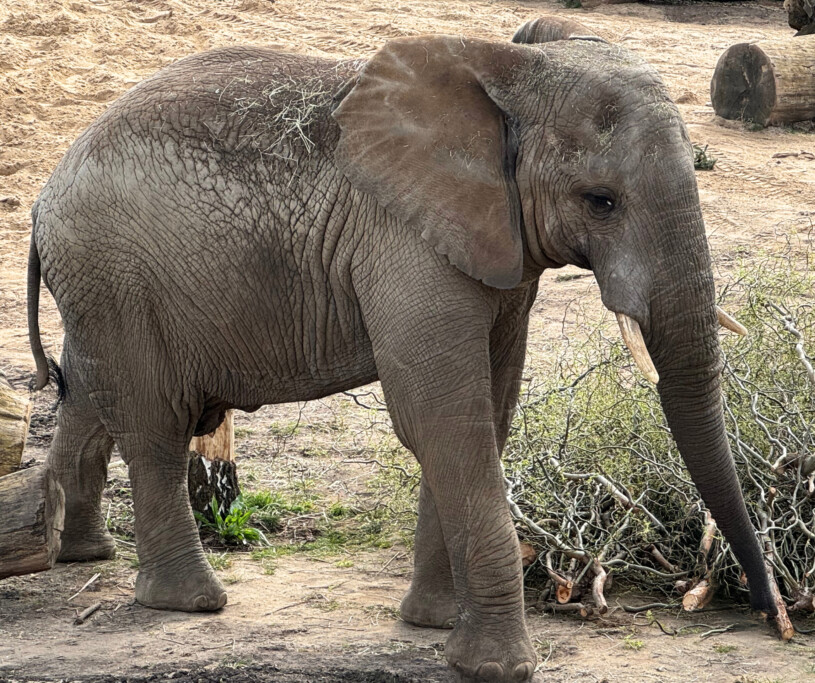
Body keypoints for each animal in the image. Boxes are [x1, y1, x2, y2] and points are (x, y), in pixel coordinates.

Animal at [27, 24, 776, 683]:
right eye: (601, 201)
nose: (774, 620)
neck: (506, 70)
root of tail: (44, 192)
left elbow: (486, 415)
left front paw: (434, 624)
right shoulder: (403, 242)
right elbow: (443, 421)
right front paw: (497, 667)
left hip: (100, 289)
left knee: (89, 395)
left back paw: (76, 551)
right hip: (114, 277)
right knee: (152, 426)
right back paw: (189, 601)